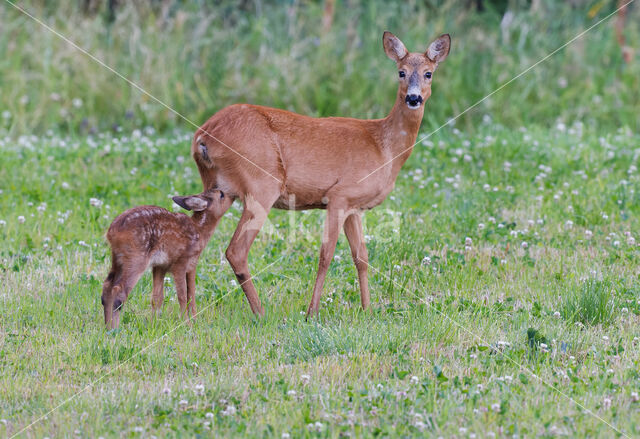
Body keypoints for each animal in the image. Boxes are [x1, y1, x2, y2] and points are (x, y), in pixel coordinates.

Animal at [104, 190, 234, 330]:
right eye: (221, 195)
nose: (232, 195)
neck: (199, 231)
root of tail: (112, 232)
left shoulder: (160, 266)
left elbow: (158, 297)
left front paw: (155, 324)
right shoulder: (183, 262)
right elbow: (184, 295)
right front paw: (187, 323)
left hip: (117, 258)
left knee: (107, 286)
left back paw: (107, 327)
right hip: (136, 258)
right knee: (118, 291)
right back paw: (115, 329)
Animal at [190, 31, 450, 320]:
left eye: (428, 73)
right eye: (401, 72)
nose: (413, 98)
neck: (384, 146)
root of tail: (202, 135)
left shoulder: (354, 206)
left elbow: (361, 256)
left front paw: (367, 309)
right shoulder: (339, 195)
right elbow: (326, 254)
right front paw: (311, 312)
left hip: (219, 188)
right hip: (261, 184)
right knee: (236, 250)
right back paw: (260, 312)